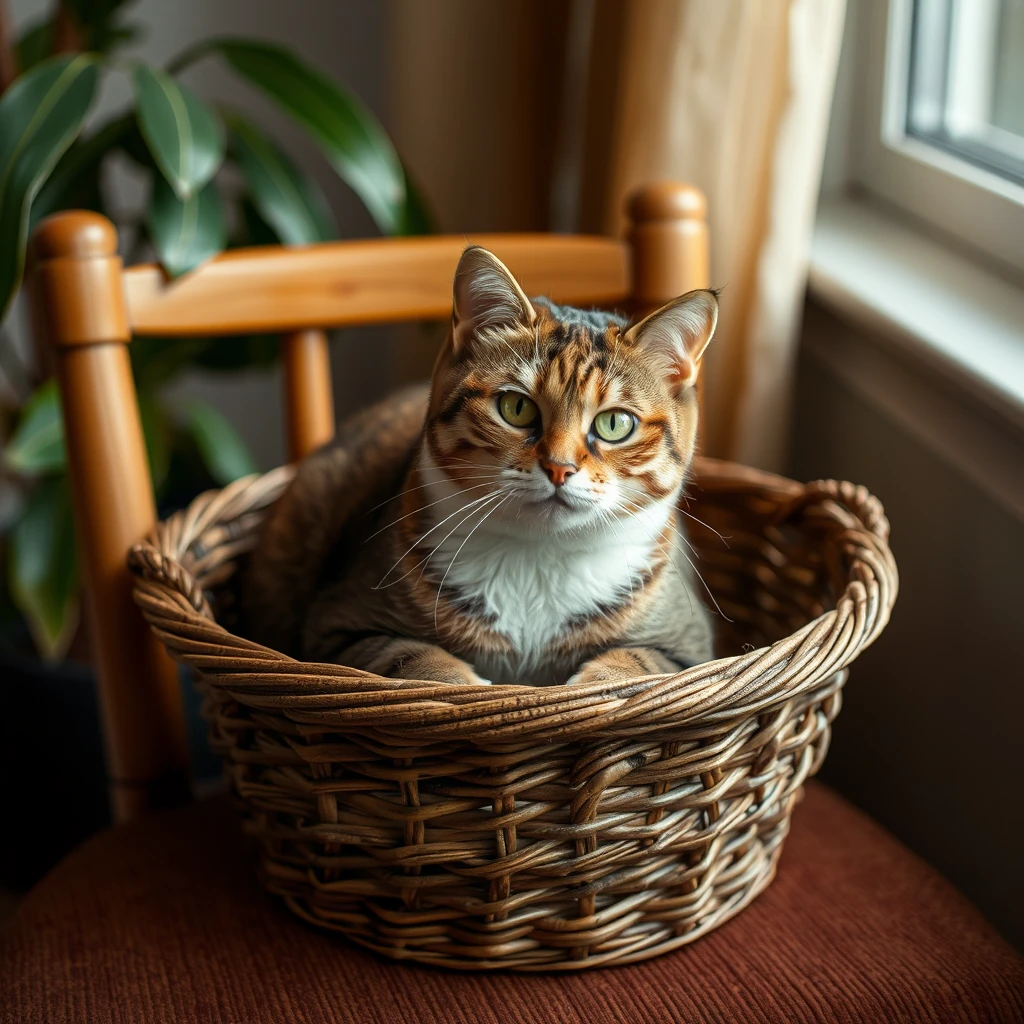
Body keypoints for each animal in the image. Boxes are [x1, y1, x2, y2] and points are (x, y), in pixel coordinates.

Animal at [242, 243, 716, 684]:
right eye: (516, 408)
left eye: (615, 423)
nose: (559, 468)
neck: (537, 557)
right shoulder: (338, 623)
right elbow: (411, 656)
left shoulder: (690, 647)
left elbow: (639, 665)